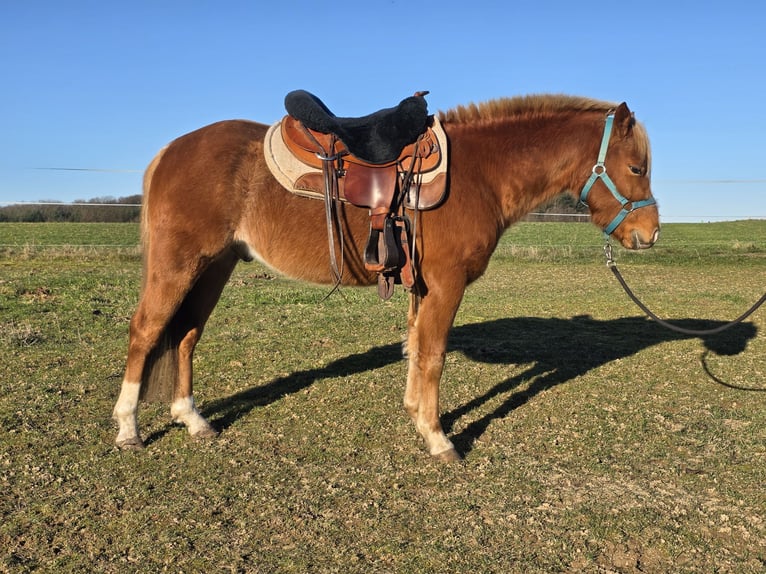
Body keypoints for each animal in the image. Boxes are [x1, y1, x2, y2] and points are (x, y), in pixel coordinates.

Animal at [112, 93, 660, 461]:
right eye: (636, 167)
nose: (649, 234)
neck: (479, 173)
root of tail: (170, 150)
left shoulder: (422, 287)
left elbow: (416, 349)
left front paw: (417, 416)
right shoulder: (446, 285)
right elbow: (433, 355)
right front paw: (439, 440)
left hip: (214, 266)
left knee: (185, 335)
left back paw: (192, 420)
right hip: (179, 265)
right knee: (145, 332)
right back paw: (128, 428)